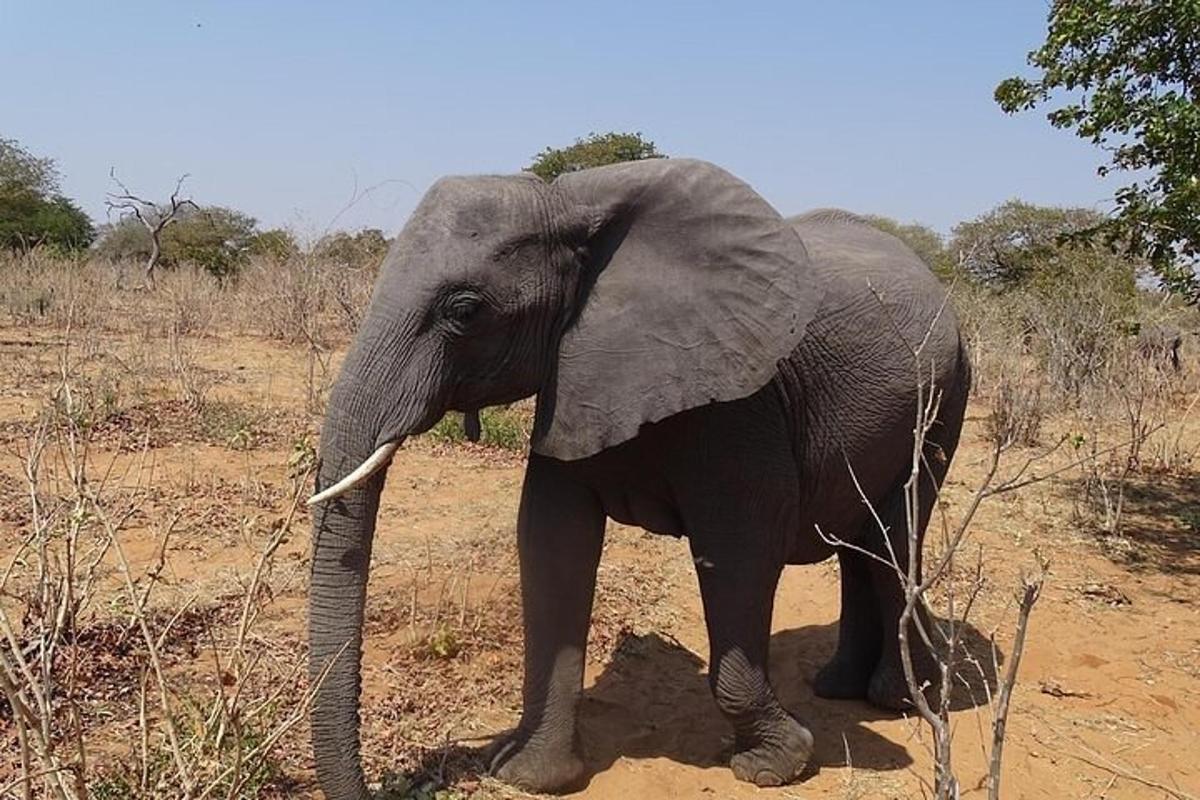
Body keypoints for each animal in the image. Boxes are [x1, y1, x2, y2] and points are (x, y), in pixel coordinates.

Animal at [304, 159, 969, 796]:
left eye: (464, 312)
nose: (388, 786)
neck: (570, 204)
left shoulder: (741, 401)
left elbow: (741, 550)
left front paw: (773, 765)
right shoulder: (574, 374)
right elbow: (551, 541)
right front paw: (527, 774)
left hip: (947, 395)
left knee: (896, 535)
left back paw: (899, 699)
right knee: (863, 543)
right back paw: (837, 687)